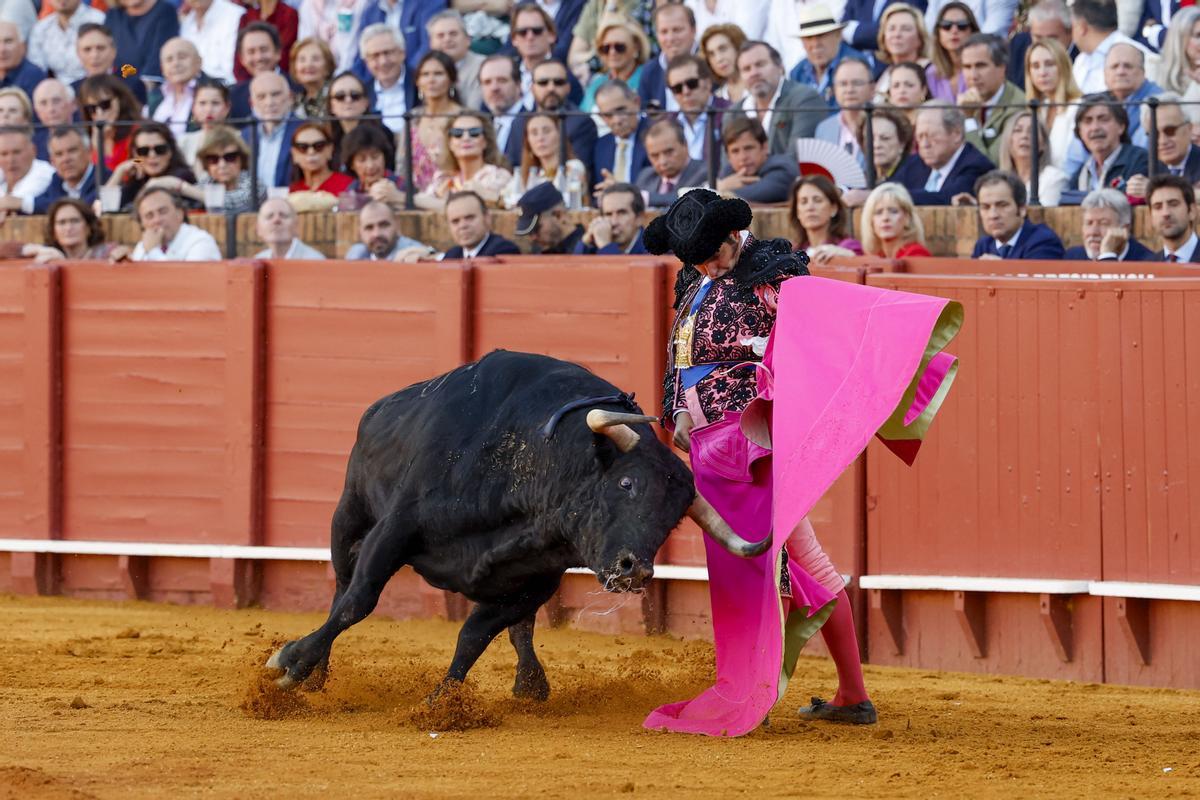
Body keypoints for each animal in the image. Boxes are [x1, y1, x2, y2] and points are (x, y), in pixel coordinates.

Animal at [267, 352, 763, 700]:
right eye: (626, 482)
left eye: (674, 519)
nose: (634, 570)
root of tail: (381, 407)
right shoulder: (394, 529)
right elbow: (358, 601)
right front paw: (292, 662)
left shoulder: (536, 579)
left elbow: (476, 635)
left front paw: (442, 701)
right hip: (349, 515)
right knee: (341, 587)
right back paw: (317, 674)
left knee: (520, 629)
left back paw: (531, 683)